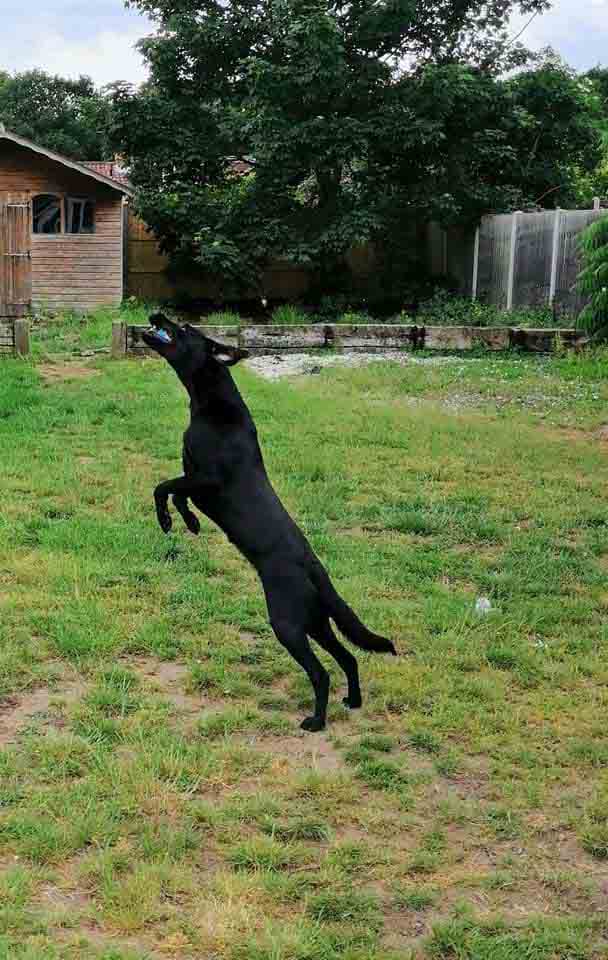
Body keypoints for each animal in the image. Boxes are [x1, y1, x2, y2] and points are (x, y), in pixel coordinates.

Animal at [143, 316, 400, 728]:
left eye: (182, 328)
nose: (156, 317)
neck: (212, 405)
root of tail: (315, 569)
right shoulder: (195, 482)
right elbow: (176, 493)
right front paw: (191, 523)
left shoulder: (206, 480)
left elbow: (163, 487)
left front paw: (168, 521)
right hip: (316, 622)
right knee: (348, 658)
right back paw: (353, 701)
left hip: (288, 624)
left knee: (321, 673)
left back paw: (316, 721)